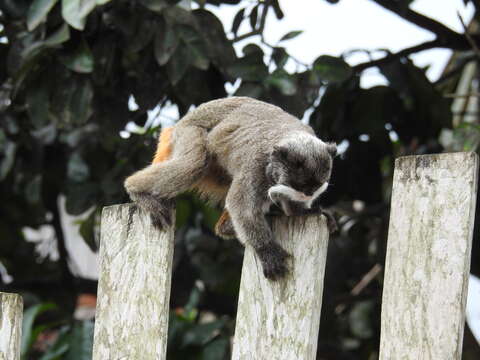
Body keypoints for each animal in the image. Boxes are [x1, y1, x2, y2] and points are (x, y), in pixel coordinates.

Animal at [124, 96, 338, 282]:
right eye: (301, 186)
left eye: (314, 188)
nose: (307, 195)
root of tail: (182, 121)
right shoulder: (257, 162)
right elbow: (240, 206)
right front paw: (266, 250)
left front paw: (303, 212)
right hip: (188, 132)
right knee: (194, 164)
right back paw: (136, 189)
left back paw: (226, 227)